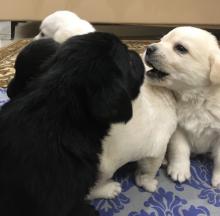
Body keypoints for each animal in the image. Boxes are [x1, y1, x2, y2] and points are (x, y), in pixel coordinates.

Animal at [144, 26, 220, 188]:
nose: (148, 48)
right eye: (162, 40)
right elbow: (180, 149)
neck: (197, 99)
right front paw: (179, 170)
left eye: (180, 48)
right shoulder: (178, 129)